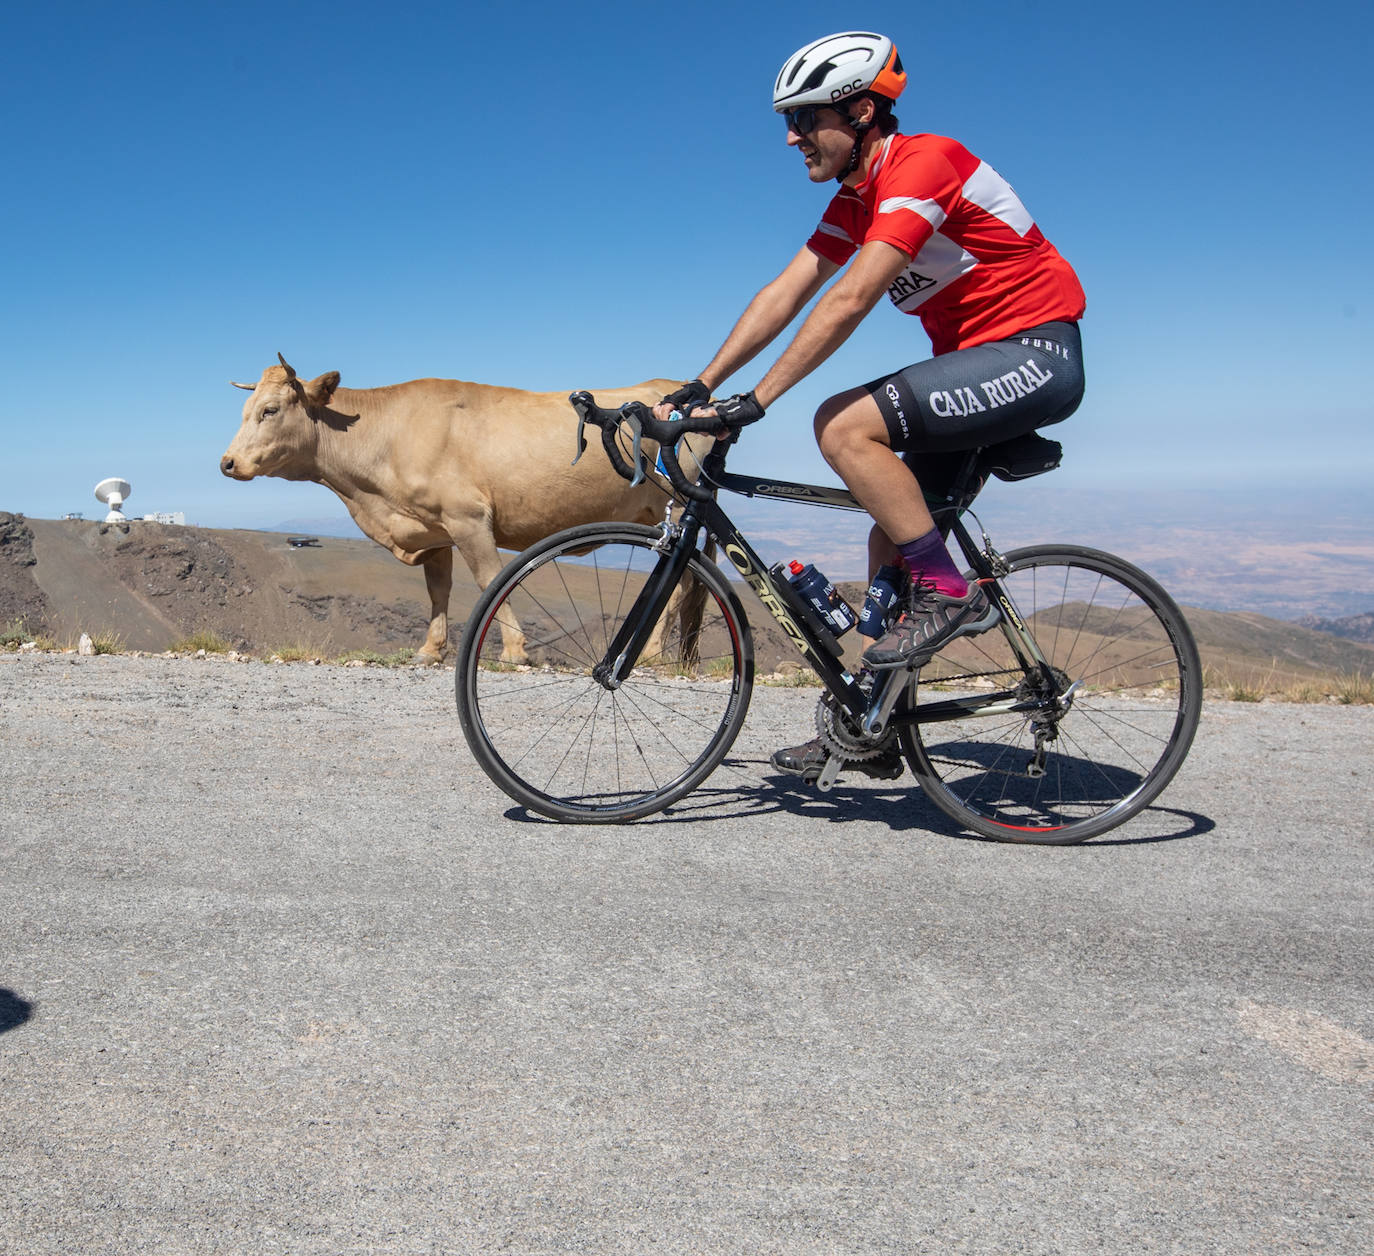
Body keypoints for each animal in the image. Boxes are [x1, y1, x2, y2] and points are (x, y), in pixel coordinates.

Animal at [225, 354, 697, 665]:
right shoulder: (432, 528)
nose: (227, 462)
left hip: (671, 509)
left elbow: (490, 580)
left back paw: (652, 654)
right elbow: (438, 589)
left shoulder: (468, 518)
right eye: (246, 410)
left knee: (680, 584)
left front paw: (514, 650)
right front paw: (431, 649)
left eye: (269, 410)